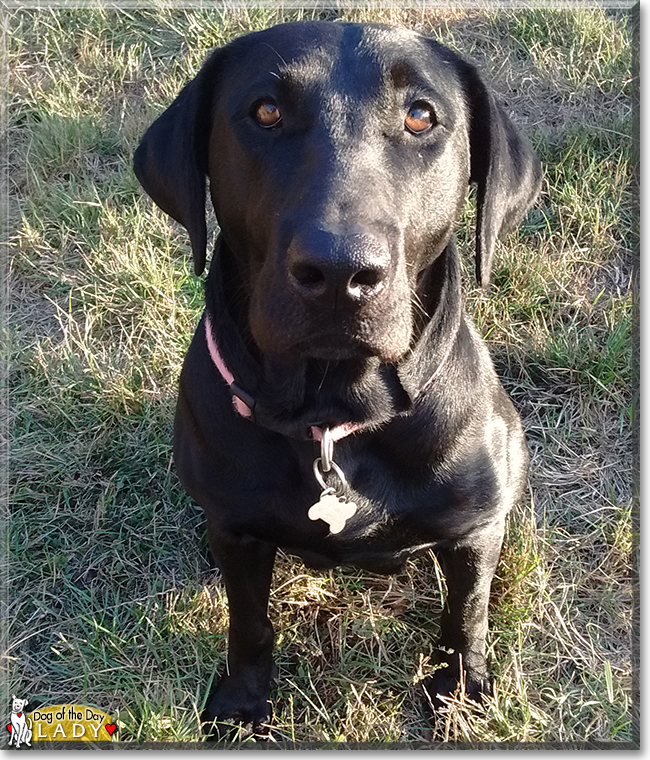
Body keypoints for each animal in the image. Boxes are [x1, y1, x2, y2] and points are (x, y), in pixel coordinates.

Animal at [134, 22, 540, 736]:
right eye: (266, 111)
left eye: (420, 116)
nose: (339, 272)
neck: (332, 413)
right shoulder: (238, 532)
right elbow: (248, 623)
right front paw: (243, 699)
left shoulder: (470, 531)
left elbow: (466, 617)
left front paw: (460, 690)